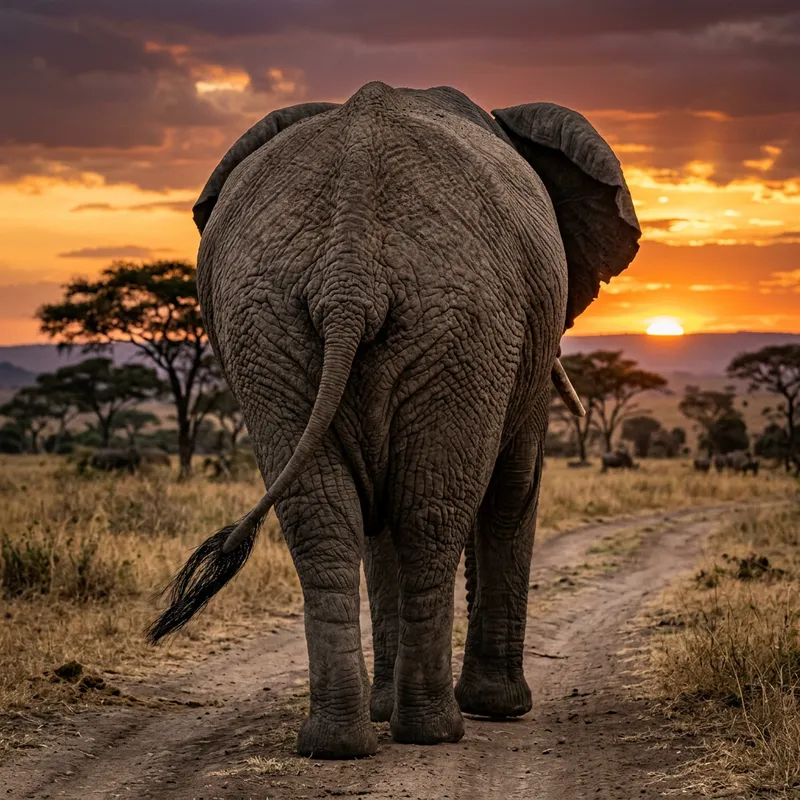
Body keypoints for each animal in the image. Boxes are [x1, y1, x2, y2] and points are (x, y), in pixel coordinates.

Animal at [147, 82, 641, 759]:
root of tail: (347, 270)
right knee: (430, 515)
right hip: (463, 324)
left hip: (269, 325)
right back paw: (436, 729)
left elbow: (377, 520)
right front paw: (501, 709)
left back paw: (336, 742)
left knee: (325, 518)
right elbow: (512, 491)